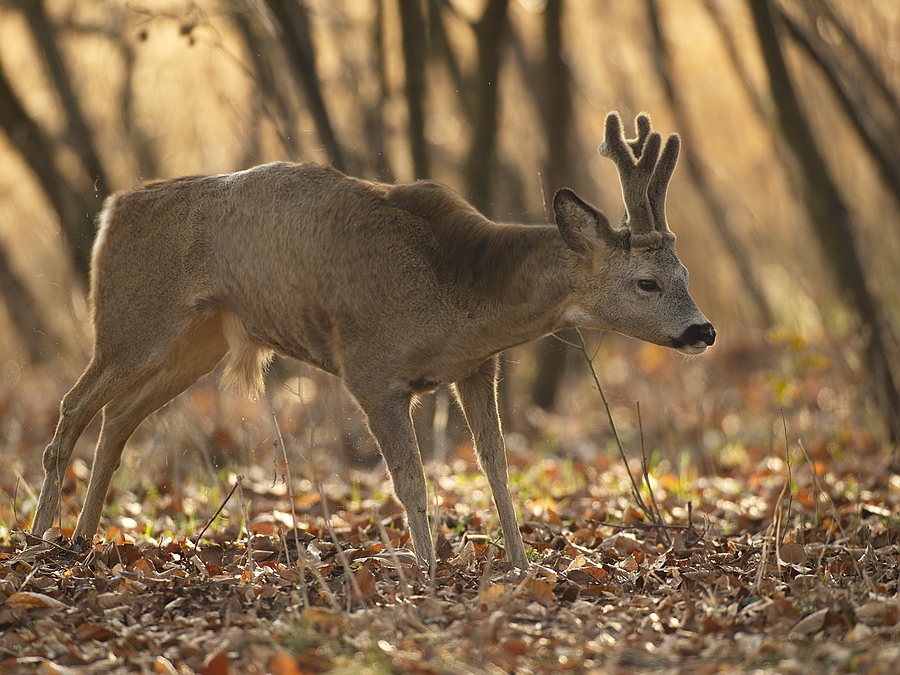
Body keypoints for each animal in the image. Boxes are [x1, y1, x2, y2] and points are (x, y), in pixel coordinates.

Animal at [31, 112, 712, 572]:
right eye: (647, 282)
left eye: (685, 274)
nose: (702, 330)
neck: (460, 288)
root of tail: (110, 213)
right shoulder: (370, 369)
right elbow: (409, 480)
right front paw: (430, 572)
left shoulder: (477, 367)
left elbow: (495, 465)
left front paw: (520, 565)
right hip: (131, 322)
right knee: (72, 405)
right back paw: (40, 538)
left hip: (197, 341)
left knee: (117, 417)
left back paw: (82, 539)